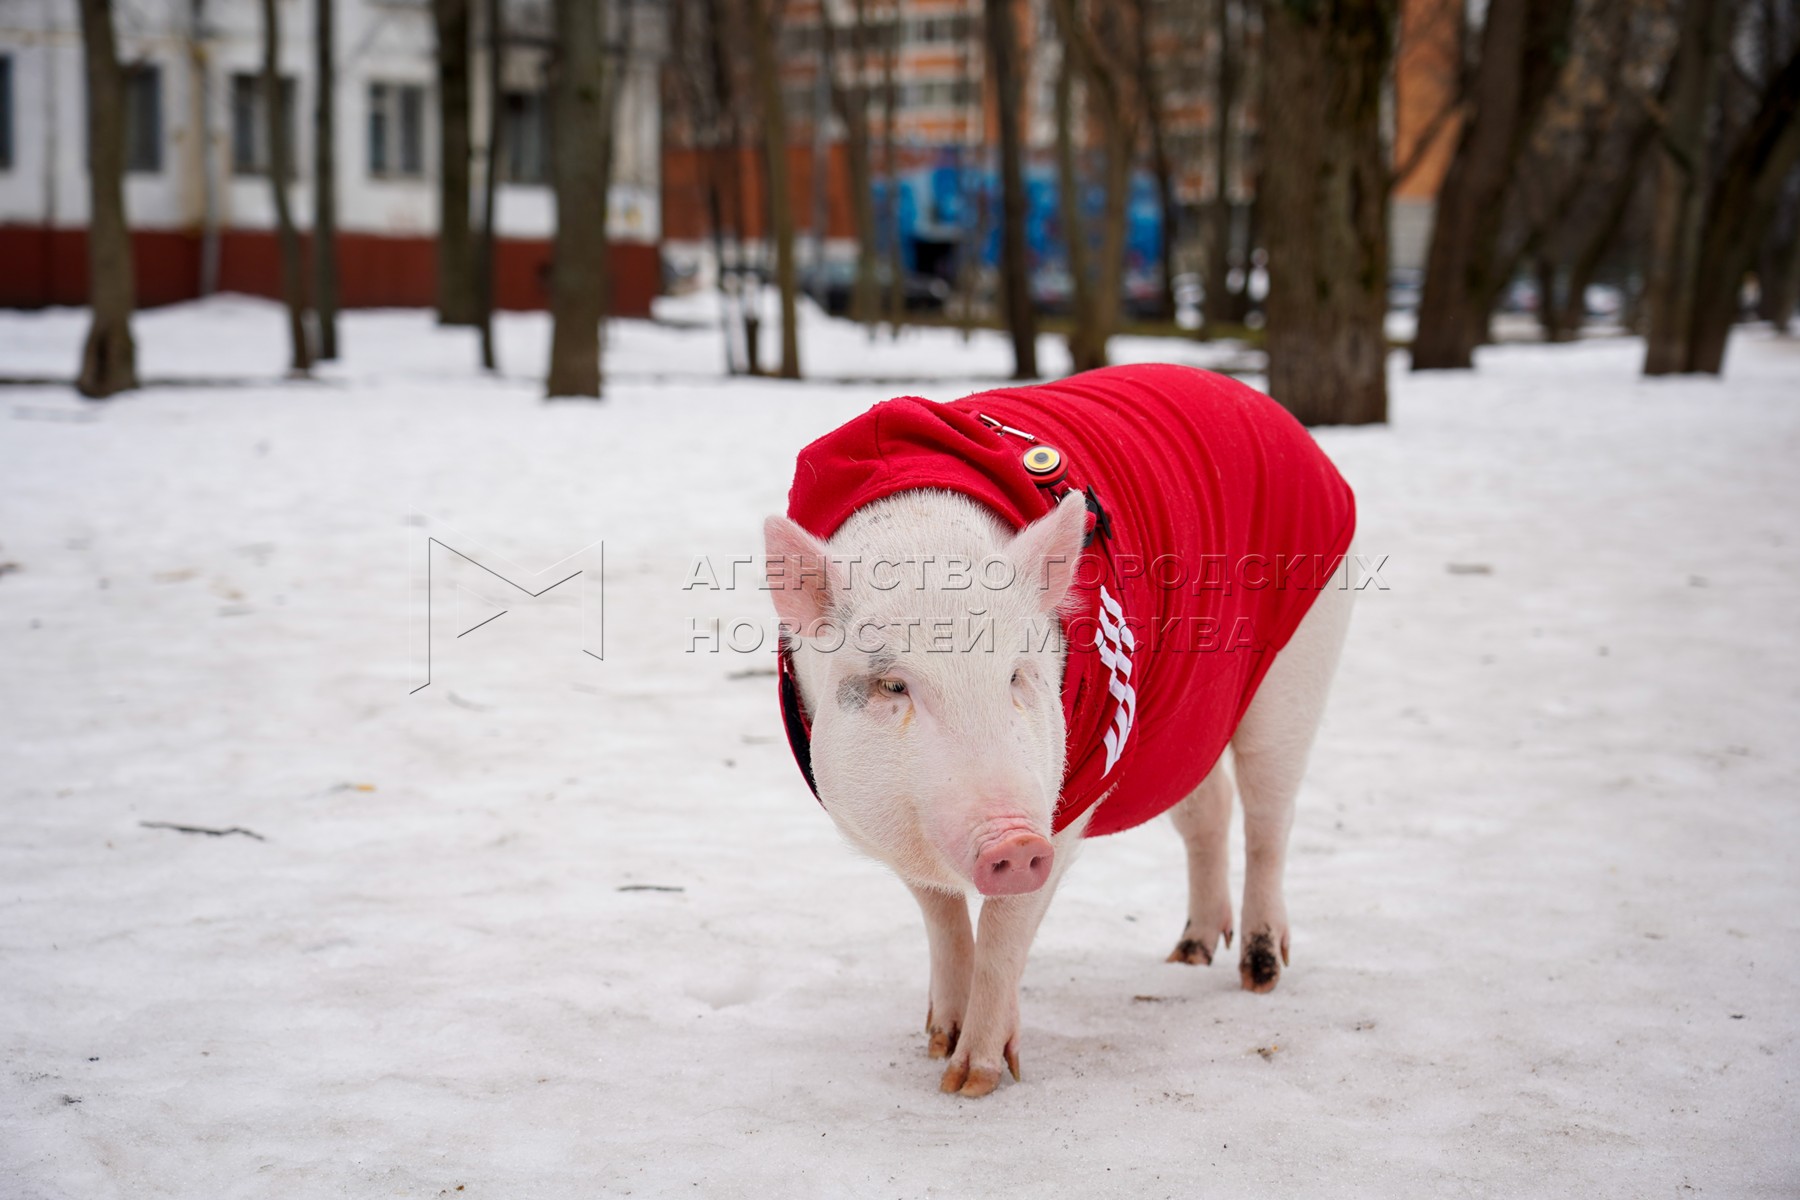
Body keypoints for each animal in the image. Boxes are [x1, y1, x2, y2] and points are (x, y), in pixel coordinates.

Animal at [759, 363, 1353, 1101]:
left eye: (1018, 673)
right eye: (894, 687)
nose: (1015, 841)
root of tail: (1272, 411)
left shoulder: (1070, 794)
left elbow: (1006, 925)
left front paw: (973, 1082)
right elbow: (942, 914)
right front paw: (938, 1045)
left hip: (1300, 659)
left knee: (1270, 816)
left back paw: (1259, 976)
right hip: (1183, 718)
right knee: (1208, 807)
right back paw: (1186, 956)